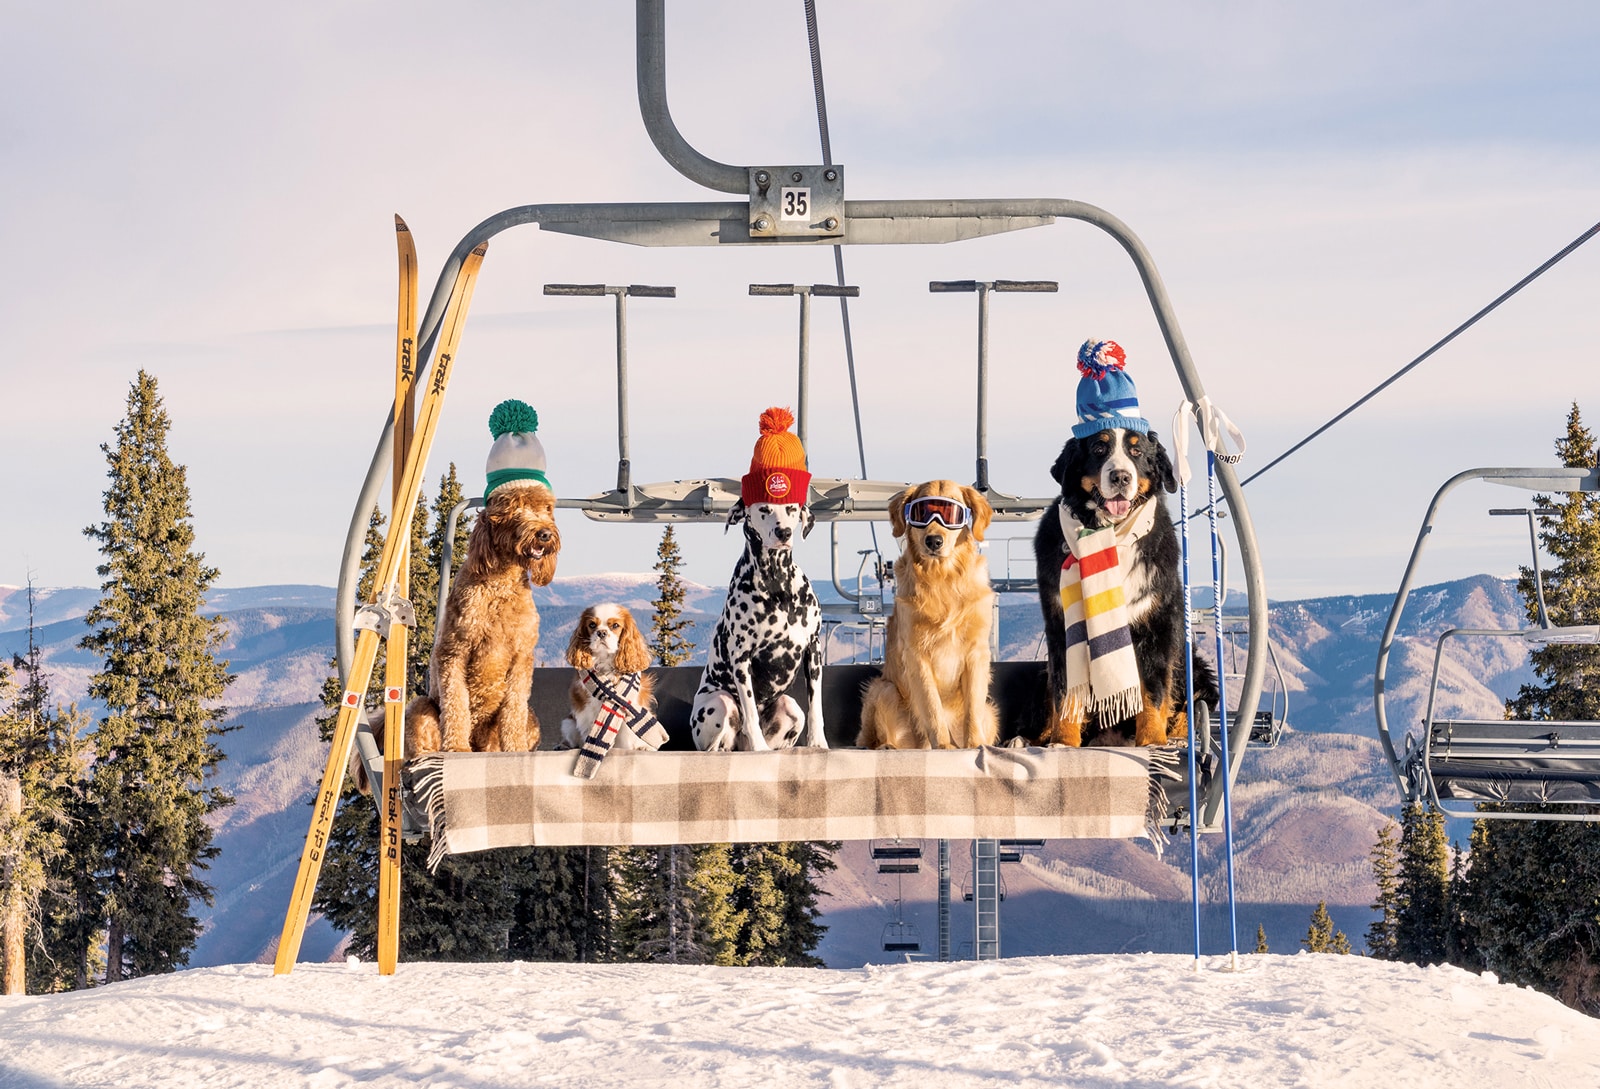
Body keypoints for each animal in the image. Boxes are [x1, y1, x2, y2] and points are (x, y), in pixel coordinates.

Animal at [403, 482, 560, 754]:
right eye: (516, 508)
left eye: (546, 508)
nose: (545, 534)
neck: (500, 584)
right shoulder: (453, 652)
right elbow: (456, 703)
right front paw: (456, 746)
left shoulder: (521, 658)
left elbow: (513, 710)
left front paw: (515, 747)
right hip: (419, 707)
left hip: (530, 719)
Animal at [560, 604, 652, 748]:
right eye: (592, 625)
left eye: (615, 625)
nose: (601, 632)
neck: (605, 661)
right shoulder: (588, 710)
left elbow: (627, 734)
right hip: (567, 724)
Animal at [691, 498, 825, 748]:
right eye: (764, 509)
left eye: (791, 508)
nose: (784, 532)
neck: (777, 581)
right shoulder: (741, 658)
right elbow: (751, 712)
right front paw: (759, 747)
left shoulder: (814, 650)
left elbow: (815, 708)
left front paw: (818, 744)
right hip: (719, 702)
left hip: (792, 707)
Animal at [857, 482, 992, 748]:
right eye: (921, 513)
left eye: (950, 513)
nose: (934, 541)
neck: (942, 579)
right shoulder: (917, 654)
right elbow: (931, 706)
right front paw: (943, 745)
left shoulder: (976, 652)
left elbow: (973, 708)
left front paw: (975, 744)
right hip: (883, 689)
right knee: (872, 739)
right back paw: (890, 745)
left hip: (991, 712)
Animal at [1030, 425, 1216, 748]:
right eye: (1099, 448)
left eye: (1137, 451)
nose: (1120, 477)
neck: (1109, 534)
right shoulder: (1059, 627)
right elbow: (1066, 693)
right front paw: (1062, 741)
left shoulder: (1156, 624)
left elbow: (1154, 691)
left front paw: (1153, 739)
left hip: (1195, 667)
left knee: (1193, 702)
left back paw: (1179, 738)